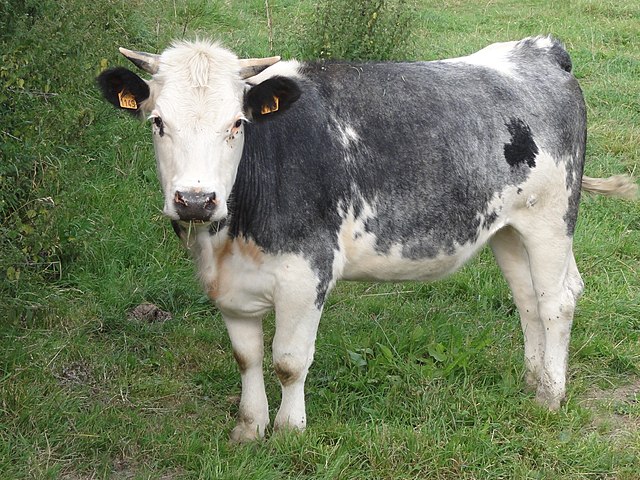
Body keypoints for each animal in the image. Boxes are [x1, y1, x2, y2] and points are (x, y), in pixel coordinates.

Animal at [97, 36, 636, 442]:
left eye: (237, 123)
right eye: (157, 122)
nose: (195, 199)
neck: (226, 237)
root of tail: (538, 48)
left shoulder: (306, 273)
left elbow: (289, 362)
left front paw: (290, 432)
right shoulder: (229, 285)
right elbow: (247, 358)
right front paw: (249, 431)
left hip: (551, 218)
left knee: (556, 301)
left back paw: (550, 396)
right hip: (507, 228)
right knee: (527, 299)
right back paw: (532, 378)